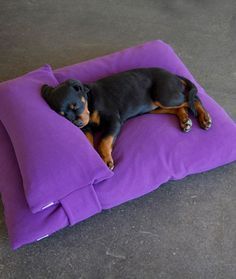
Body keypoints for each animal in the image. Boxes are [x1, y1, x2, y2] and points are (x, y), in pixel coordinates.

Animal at [41, 68, 212, 171]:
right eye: (62, 115)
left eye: (75, 105)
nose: (77, 124)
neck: (90, 101)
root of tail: (173, 75)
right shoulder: (87, 127)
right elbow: (89, 141)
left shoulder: (114, 121)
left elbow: (104, 141)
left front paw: (106, 159)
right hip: (156, 107)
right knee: (180, 107)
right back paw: (185, 121)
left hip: (165, 96)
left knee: (193, 98)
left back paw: (204, 118)